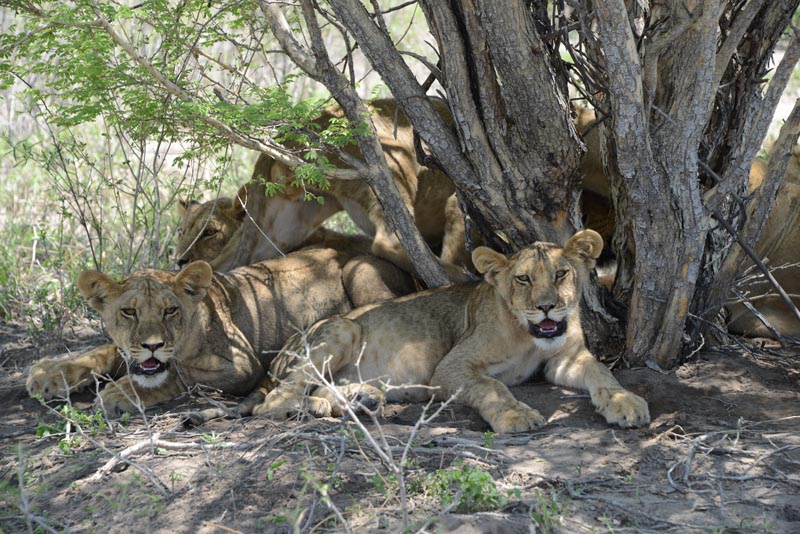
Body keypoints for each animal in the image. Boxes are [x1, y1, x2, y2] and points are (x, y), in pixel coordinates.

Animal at [26, 248, 415, 415]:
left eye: (170, 310)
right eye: (129, 311)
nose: (152, 345)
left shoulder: (243, 367)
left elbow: (179, 376)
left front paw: (120, 393)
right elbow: (103, 352)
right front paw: (48, 373)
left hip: (357, 273)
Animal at [176, 98, 469, 280]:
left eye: (209, 232)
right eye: (181, 231)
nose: (179, 260)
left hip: (286, 222)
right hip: (388, 166)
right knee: (389, 242)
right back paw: (457, 275)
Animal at [247, 230, 650, 433]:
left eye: (561, 274)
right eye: (523, 279)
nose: (547, 306)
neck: (528, 337)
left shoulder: (564, 358)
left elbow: (601, 372)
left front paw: (625, 403)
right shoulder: (450, 367)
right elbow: (492, 387)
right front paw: (516, 417)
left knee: (319, 388)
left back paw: (363, 399)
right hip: (343, 327)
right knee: (273, 401)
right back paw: (313, 407)